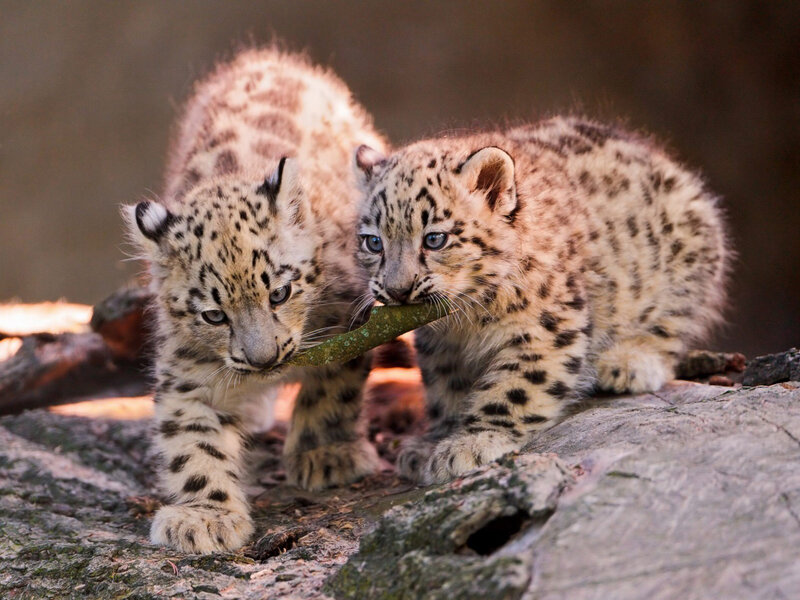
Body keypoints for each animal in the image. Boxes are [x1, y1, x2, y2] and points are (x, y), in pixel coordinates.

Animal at [124, 47, 387, 553]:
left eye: (280, 292)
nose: (263, 359)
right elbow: (194, 443)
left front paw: (325, 453)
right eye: (213, 314)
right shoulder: (187, 375)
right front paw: (205, 516)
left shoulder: (350, 320)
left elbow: (333, 386)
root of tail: (266, 57)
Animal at [353, 116, 729, 485]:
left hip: (686, 267)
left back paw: (629, 362)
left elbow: (515, 387)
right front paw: (434, 440)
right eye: (373, 242)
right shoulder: (440, 346)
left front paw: (473, 444)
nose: (398, 289)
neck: (465, 322)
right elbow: (445, 387)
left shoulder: (544, 329)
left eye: (435, 239)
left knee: (672, 323)